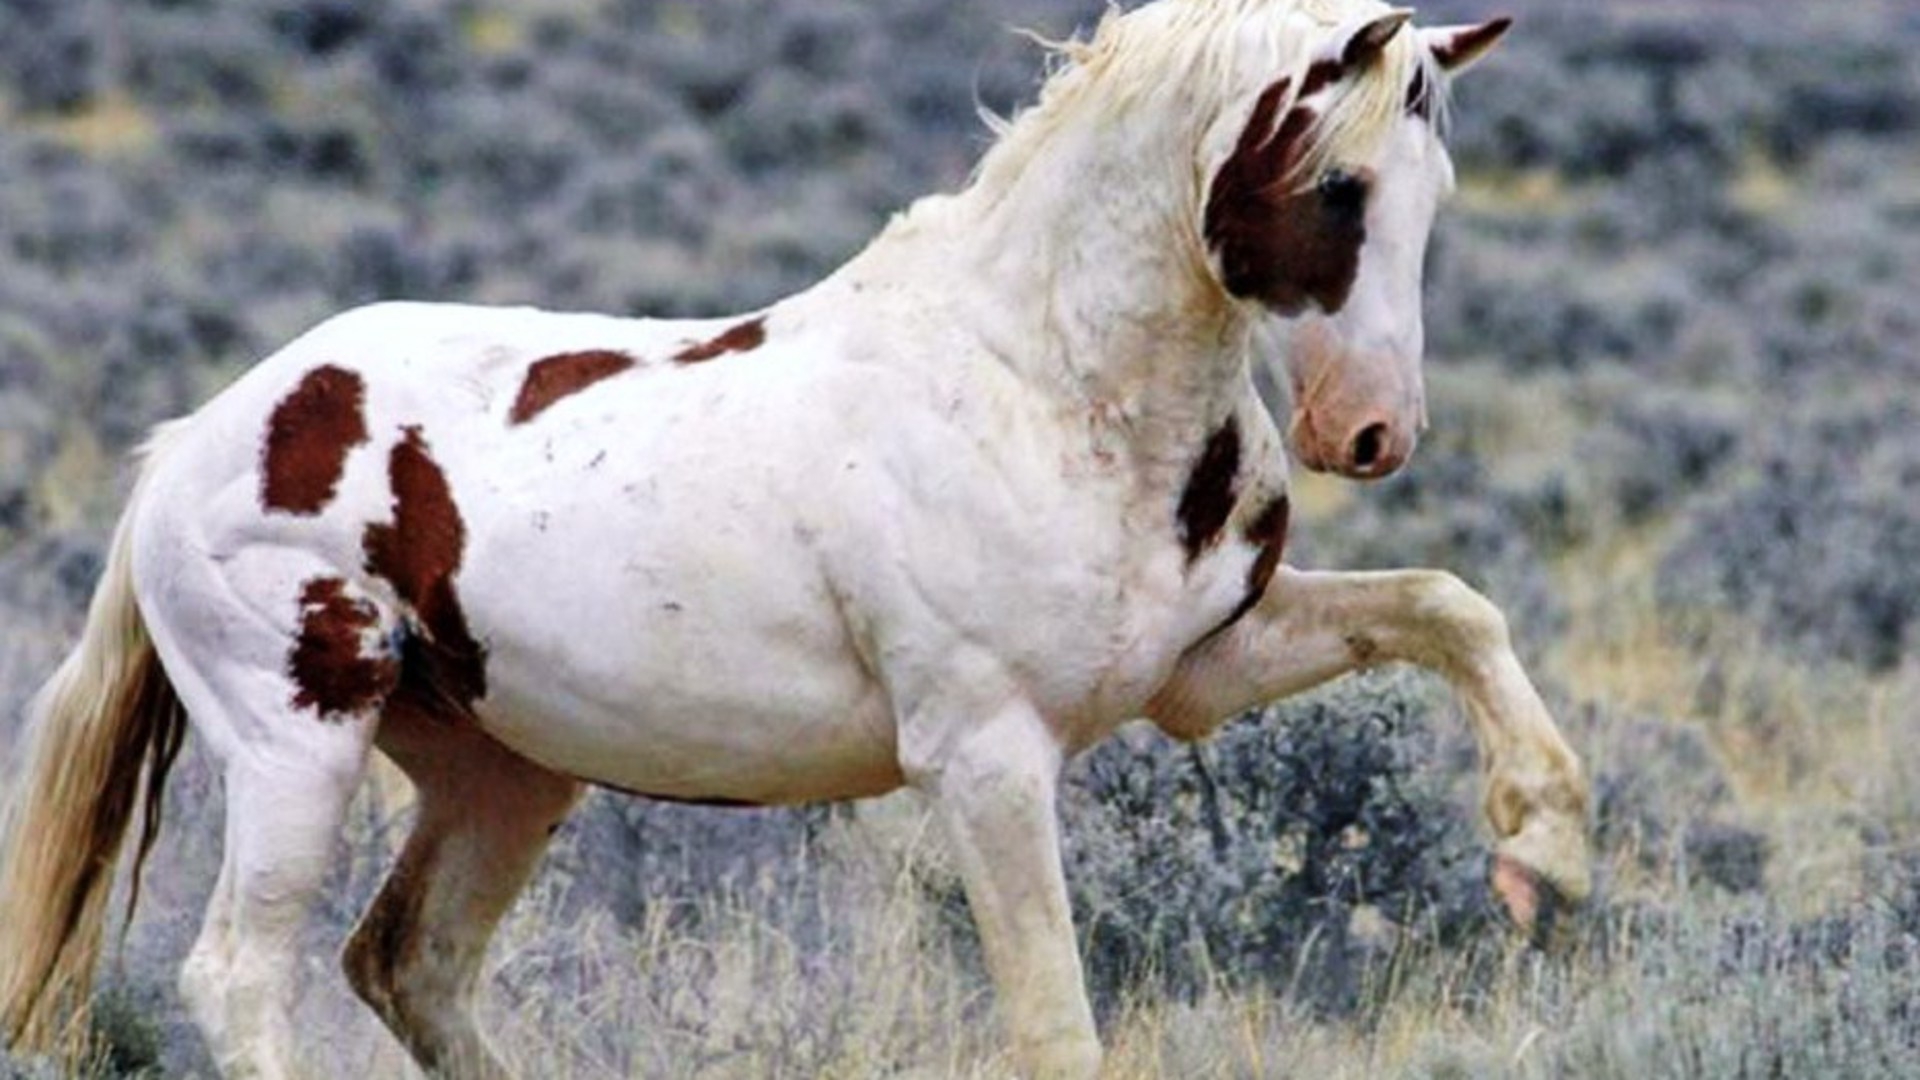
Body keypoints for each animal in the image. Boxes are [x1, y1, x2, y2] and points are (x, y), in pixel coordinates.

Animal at [0, 1, 1589, 1076]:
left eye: (1437, 193)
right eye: (1337, 187)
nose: (1369, 432)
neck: (1039, 379)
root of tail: (190, 445)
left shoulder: (1203, 667)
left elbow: (1450, 605)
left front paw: (1547, 857)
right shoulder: (986, 754)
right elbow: (1054, 1025)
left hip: (503, 773)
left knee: (410, 963)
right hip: (299, 743)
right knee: (240, 978)